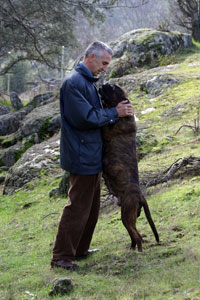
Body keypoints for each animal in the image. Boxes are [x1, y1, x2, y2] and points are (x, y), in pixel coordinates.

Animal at [99, 83, 159, 252]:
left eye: (113, 88)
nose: (104, 83)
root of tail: (141, 196)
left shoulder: (106, 130)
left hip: (127, 215)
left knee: (137, 236)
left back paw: (137, 250)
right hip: (129, 215)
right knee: (134, 233)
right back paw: (132, 247)